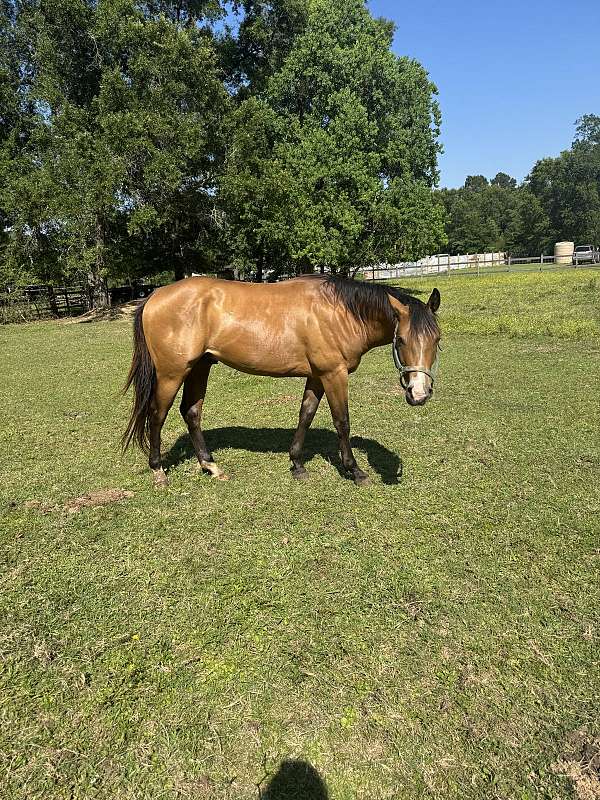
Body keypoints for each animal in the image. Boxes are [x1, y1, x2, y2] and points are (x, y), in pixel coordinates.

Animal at [122, 275, 441, 486]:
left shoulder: (316, 376)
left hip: (200, 367)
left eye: (437, 340)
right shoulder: (333, 374)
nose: (419, 393)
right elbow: (342, 422)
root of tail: (153, 296)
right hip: (172, 373)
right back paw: (158, 472)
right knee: (157, 415)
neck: (338, 312)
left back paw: (210, 466)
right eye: (401, 340)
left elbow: (306, 415)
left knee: (191, 412)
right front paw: (355, 470)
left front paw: (297, 464)